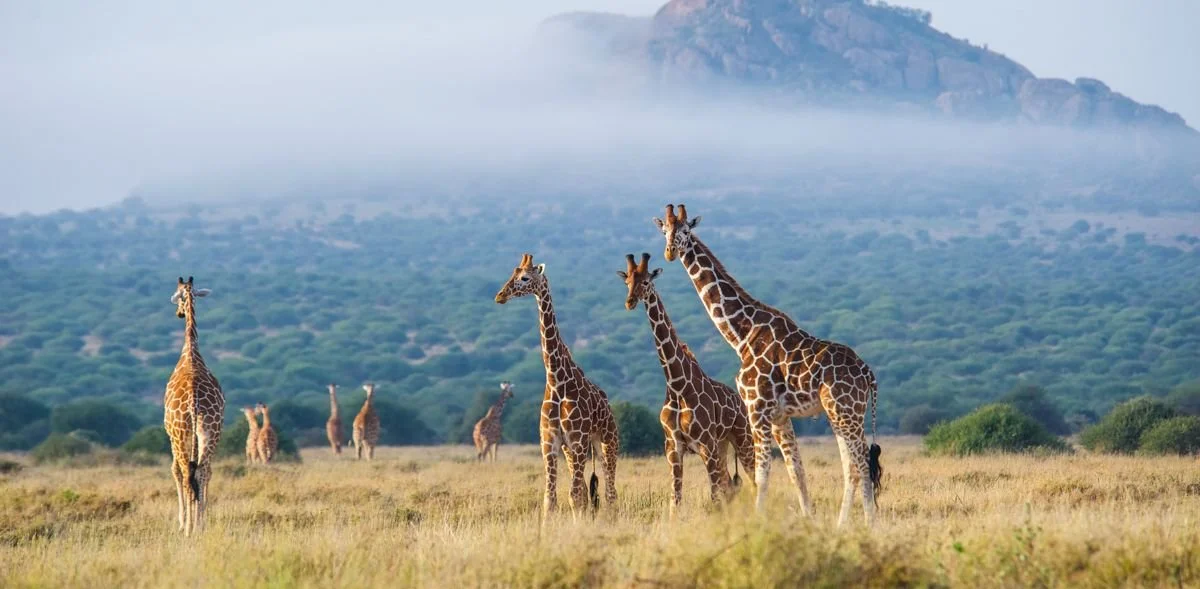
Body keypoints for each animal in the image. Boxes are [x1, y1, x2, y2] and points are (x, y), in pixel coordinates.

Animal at [495, 253, 620, 520]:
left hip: (606, 441)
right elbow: (551, 499)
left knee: (610, 491)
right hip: (573, 451)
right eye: (512, 273)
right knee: (589, 490)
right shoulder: (550, 444)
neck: (557, 381)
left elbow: (574, 496)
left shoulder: (578, 441)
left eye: (525, 278)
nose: (500, 295)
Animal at [619, 253, 755, 515]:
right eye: (627, 281)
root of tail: (740, 403)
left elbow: (713, 497)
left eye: (646, 282)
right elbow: (676, 499)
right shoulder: (673, 447)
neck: (677, 384)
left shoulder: (705, 444)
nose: (629, 302)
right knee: (729, 486)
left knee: (752, 480)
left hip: (741, 439)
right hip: (722, 446)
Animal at [654, 204, 883, 527]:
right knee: (853, 464)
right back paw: (849, 524)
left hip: (845, 411)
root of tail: (868, 373)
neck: (742, 335)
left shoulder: (757, 407)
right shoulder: (779, 415)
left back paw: (862, 524)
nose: (670, 252)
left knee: (860, 463)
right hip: (843, 414)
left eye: (686, 230)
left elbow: (761, 474)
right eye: (664, 231)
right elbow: (796, 471)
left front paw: (758, 523)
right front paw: (808, 520)